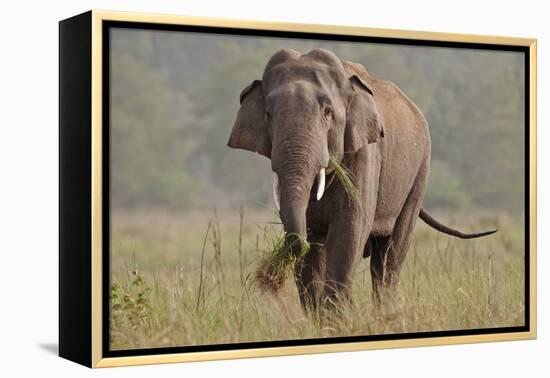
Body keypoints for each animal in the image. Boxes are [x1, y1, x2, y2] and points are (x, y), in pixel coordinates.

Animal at [226, 48, 498, 314]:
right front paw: (318, 318)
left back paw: (385, 315)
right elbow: (311, 238)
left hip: (420, 171)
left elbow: (350, 227)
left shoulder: (365, 154)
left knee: (390, 255)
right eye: (268, 114)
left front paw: (336, 318)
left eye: (328, 112)